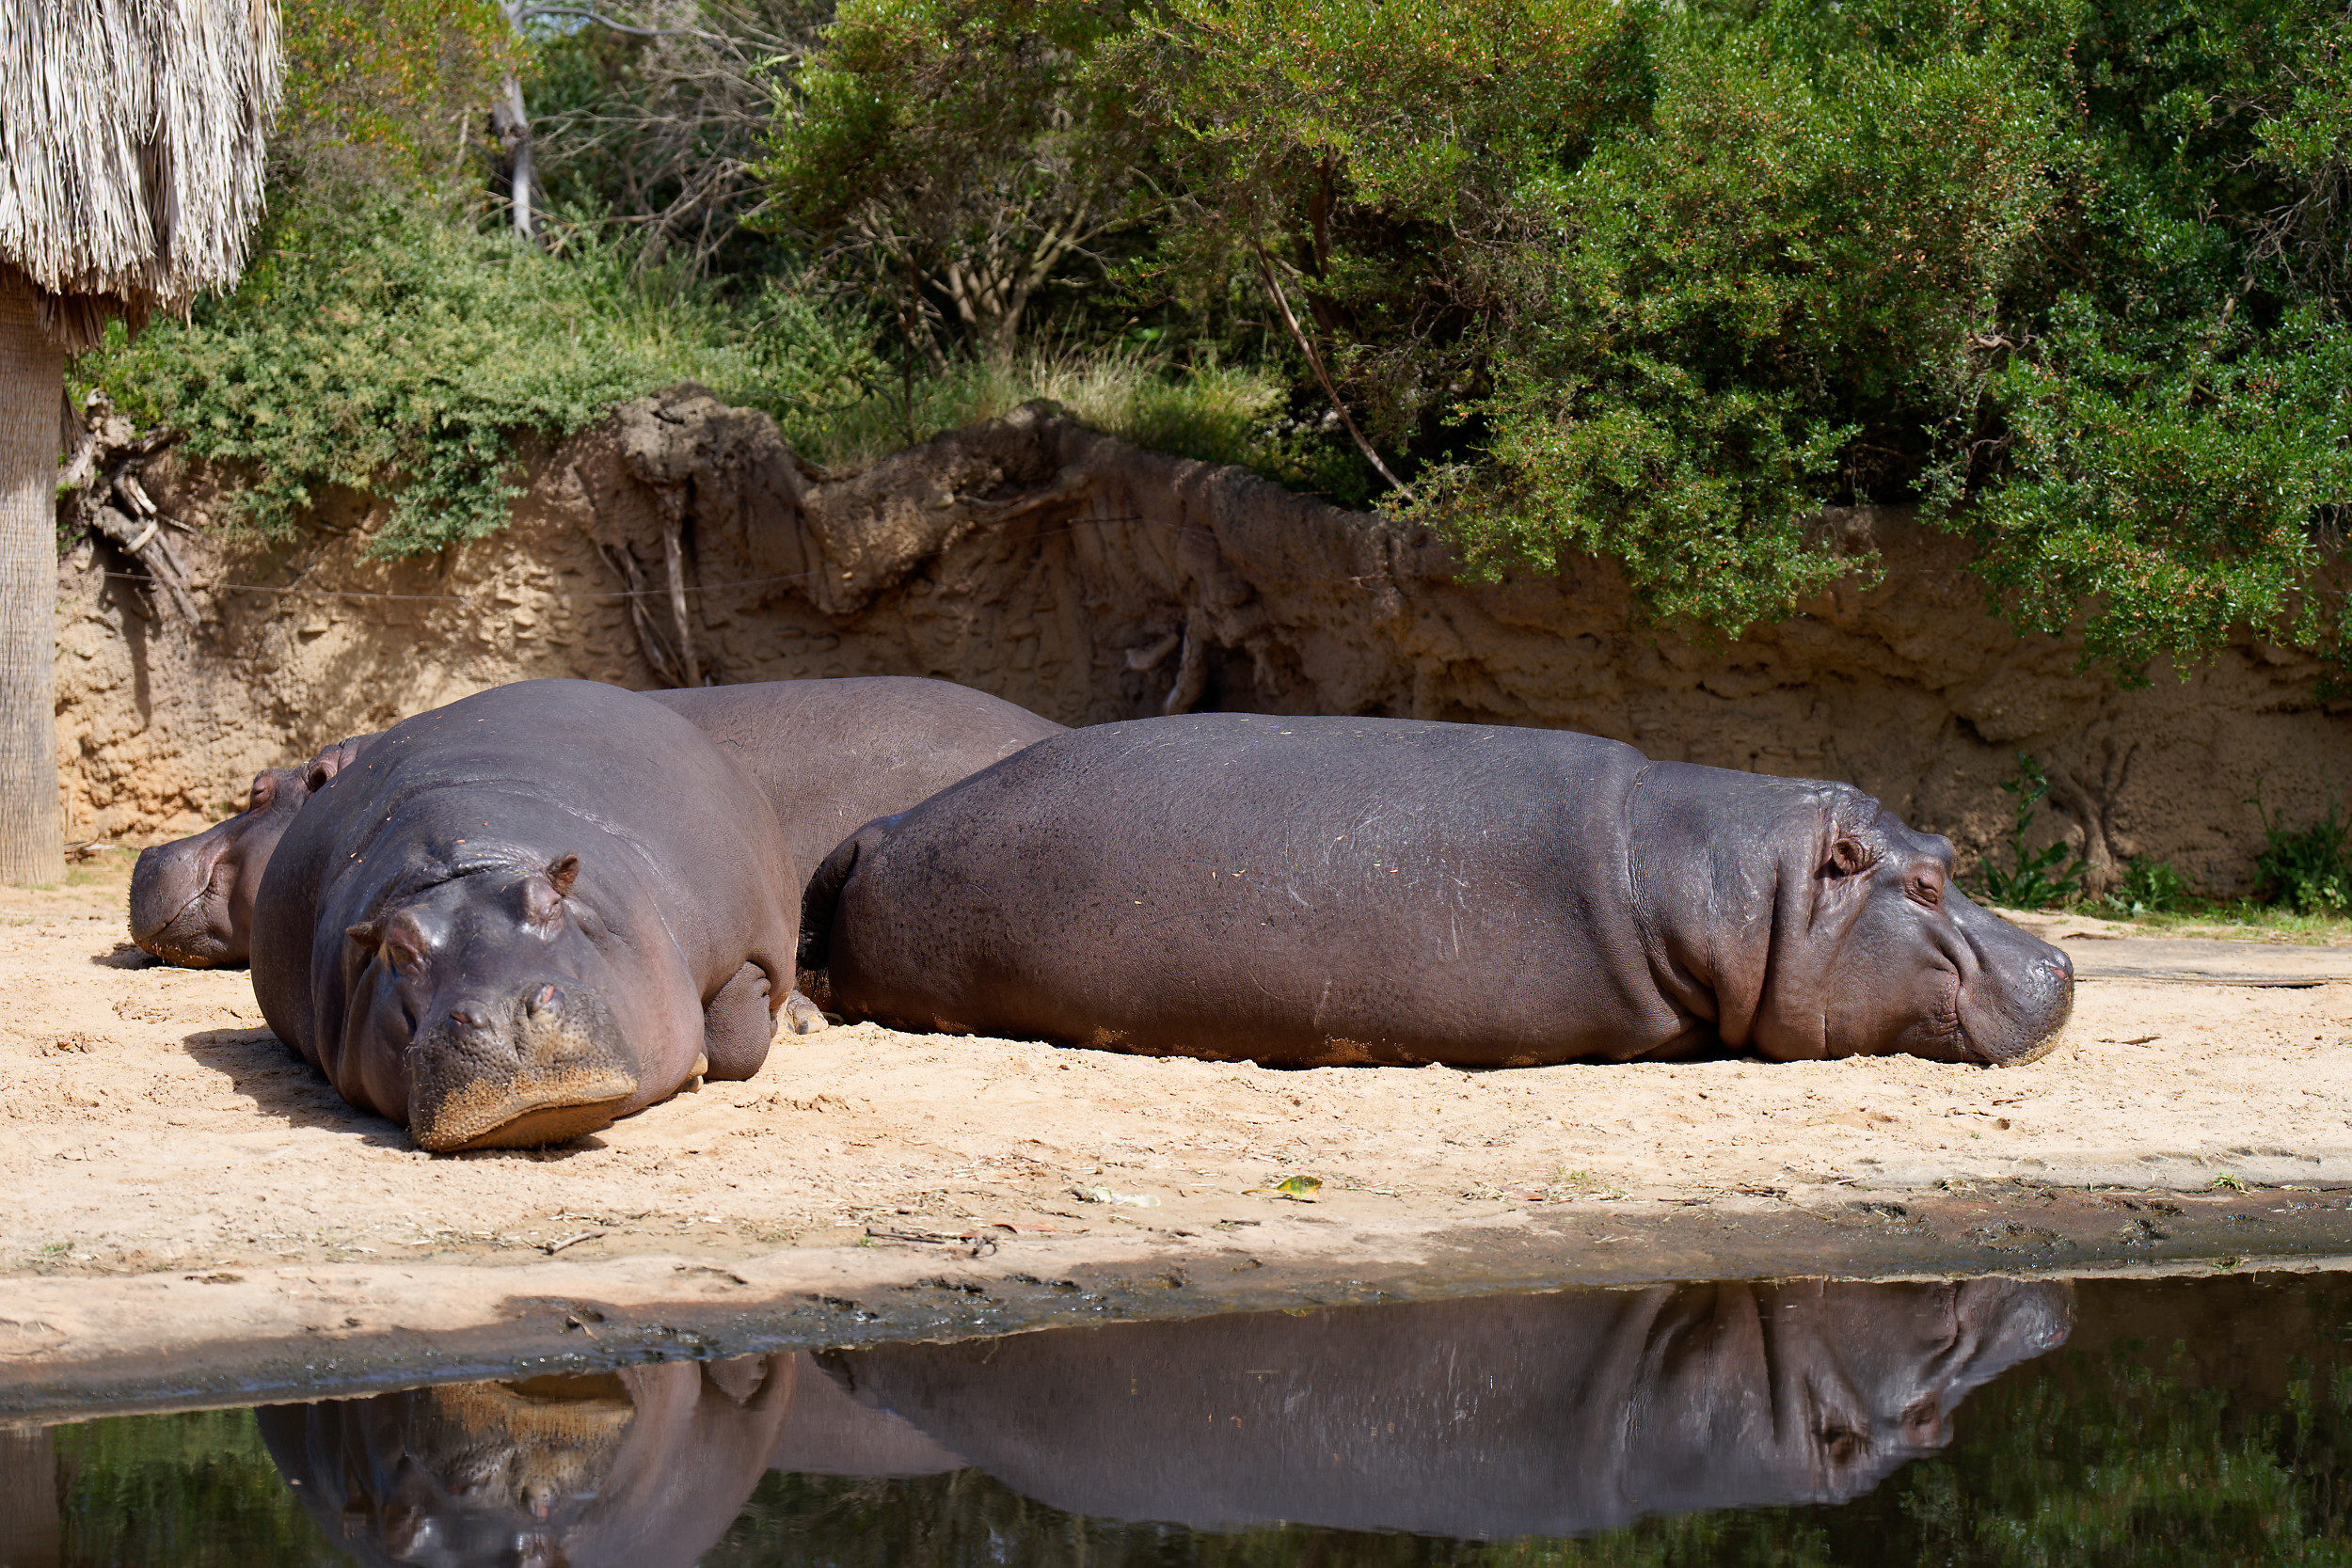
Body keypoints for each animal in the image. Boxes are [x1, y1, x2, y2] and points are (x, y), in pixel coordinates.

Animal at [249, 681, 800, 1147]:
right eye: (399, 948)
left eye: (550, 904)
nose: (503, 1014)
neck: (470, 859)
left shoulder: (738, 949)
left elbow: (737, 1039)